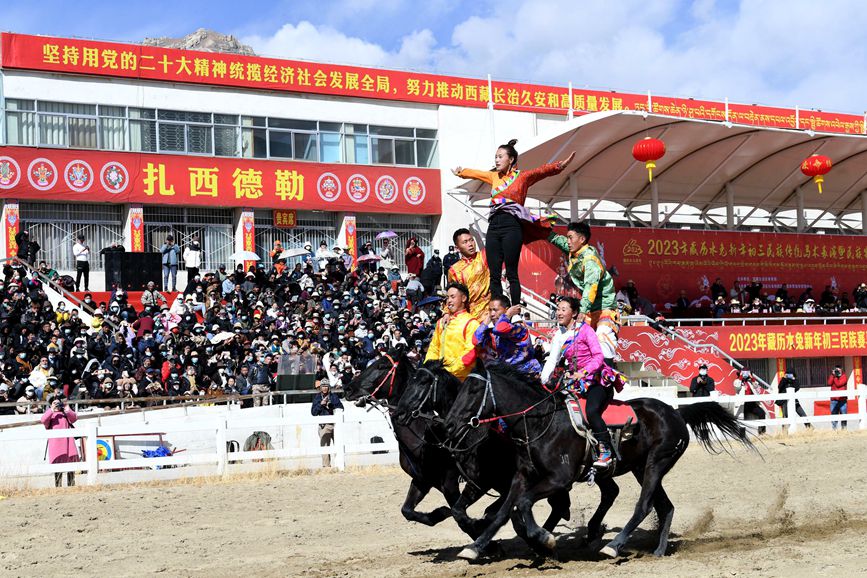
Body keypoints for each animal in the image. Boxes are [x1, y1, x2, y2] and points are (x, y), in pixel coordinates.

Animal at [443, 362, 756, 560]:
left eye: (473, 391)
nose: (448, 425)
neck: (542, 421)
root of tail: (677, 413)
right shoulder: (521, 477)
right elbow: (503, 512)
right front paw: (475, 547)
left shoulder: (559, 480)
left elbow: (522, 504)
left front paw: (544, 538)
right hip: (642, 468)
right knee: (664, 507)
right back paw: (657, 549)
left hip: (656, 464)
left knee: (644, 506)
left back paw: (614, 546)